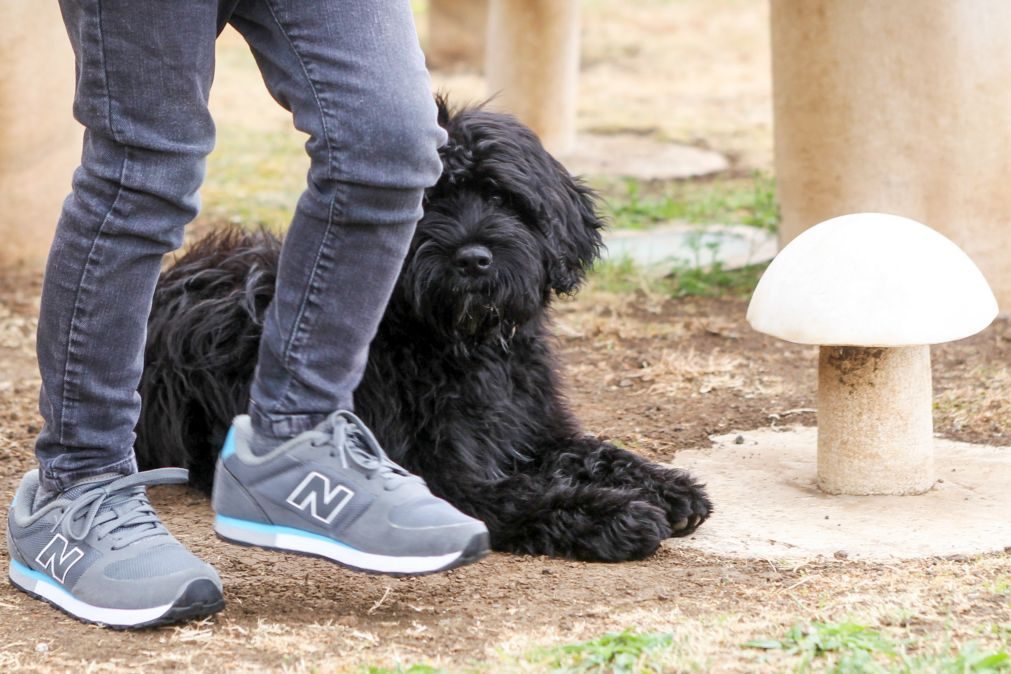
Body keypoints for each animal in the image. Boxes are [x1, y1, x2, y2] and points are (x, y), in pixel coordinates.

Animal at [136, 99, 711, 565]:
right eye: (428, 202)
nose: (473, 259)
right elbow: (523, 494)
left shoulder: (533, 428)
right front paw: (615, 515)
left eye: (501, 198)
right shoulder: (433, 472)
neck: (457, 343)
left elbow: (592, 450)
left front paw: (667, 486)